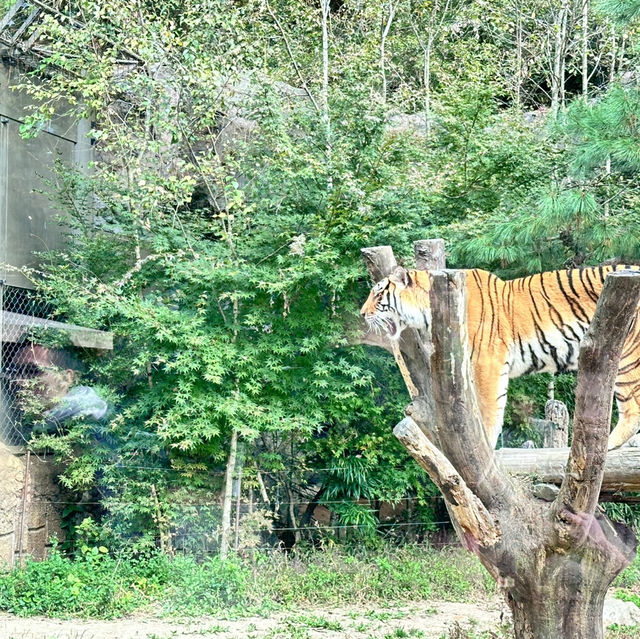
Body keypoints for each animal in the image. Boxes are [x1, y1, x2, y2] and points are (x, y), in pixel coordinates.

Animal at [360, 262, 640, 450]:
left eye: (378, 294)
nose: (361, 314)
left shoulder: (488, 362)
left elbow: (489, 410)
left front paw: (487, 445)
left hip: (626, 357)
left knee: (633, 409)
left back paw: (610, 444)